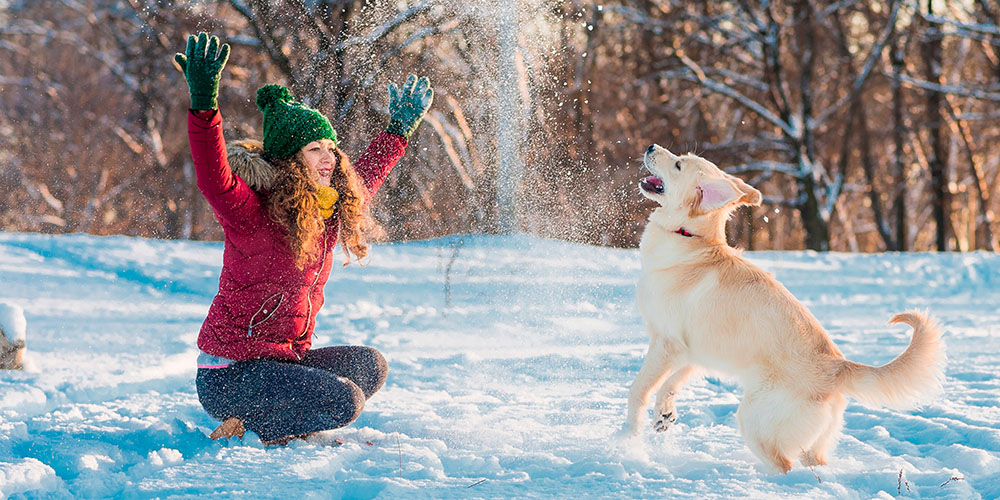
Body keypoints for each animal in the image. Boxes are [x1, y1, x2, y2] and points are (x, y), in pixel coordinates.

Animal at [624, 144, 944, 472]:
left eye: (677, 164)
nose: (650, 147)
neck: (691, 238)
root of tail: (837, 367)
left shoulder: (666, 344)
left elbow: (639, 389)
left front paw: (628, 437)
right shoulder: (694, 352)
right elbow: (671, 382)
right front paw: (663, 414)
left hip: (754, 420)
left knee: (783, 465)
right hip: (813, 444)